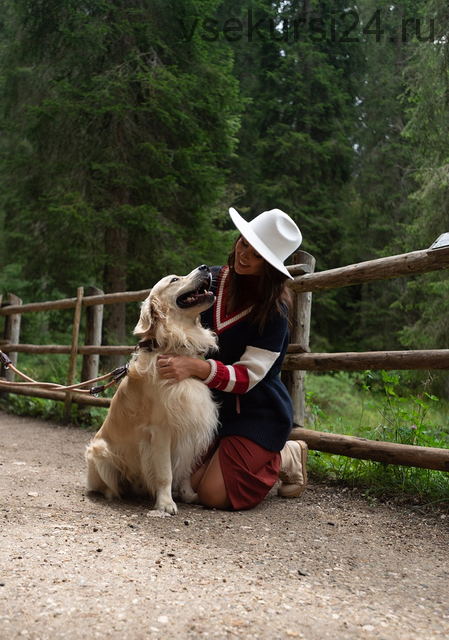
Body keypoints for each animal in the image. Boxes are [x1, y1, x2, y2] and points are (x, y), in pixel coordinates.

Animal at [85, 264, 218, 516]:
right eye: (174, 279)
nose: (205, 267)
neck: (174, 346)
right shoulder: (161, 430)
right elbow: (165, 472)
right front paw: (165, 503)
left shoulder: (190, 426)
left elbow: (186, 468)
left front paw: (187, 493)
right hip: (99, 452)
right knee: (105, 485)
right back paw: (116, 492)